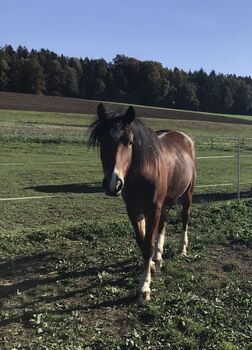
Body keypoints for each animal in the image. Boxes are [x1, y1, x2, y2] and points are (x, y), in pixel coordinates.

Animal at [88, 103, 197, 300]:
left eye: (129, 142)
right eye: (102, 141)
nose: (113, 184)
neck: (143, 172)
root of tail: (185, 138)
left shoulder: (152, 209)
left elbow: (147, 245)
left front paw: (144, 287)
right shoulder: (134, 210)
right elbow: (142, 241)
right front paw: (152, 265)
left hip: (187, 194)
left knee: (185, 217)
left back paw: (182, 249)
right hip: (165, 201)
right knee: (163, 224)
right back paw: (159, 257)